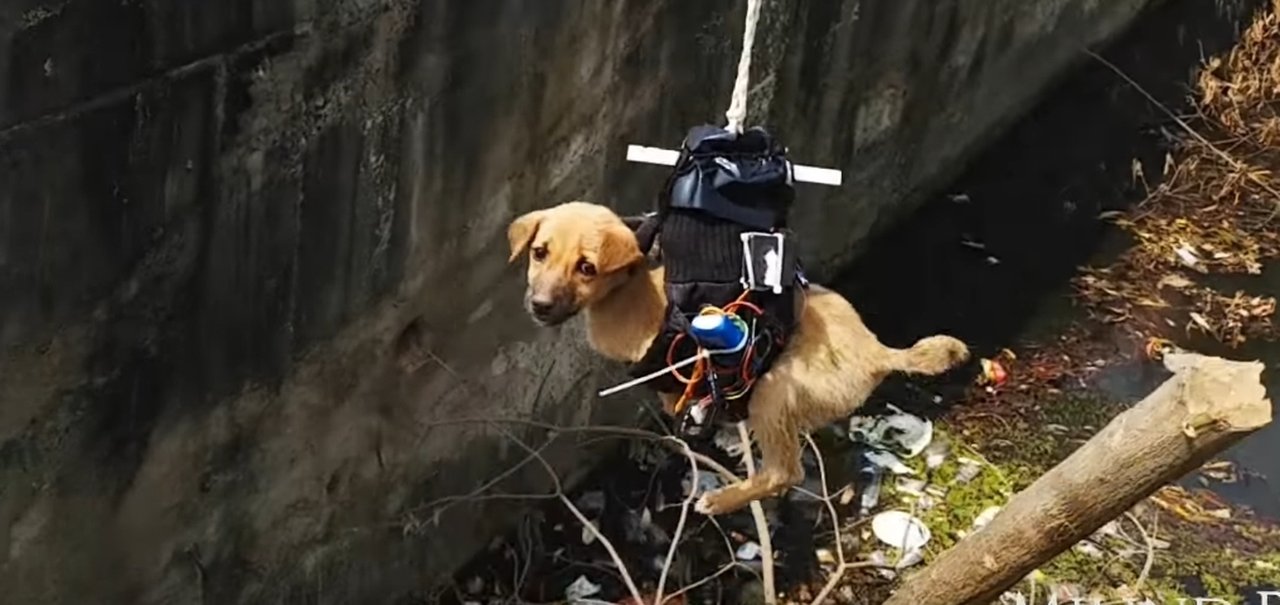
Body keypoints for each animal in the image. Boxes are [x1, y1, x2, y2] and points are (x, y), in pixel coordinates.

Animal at [509, 200, 967, 511]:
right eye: (539, 252)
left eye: (587, 267)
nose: (540, 307)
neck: (632, 282)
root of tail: (877, 353)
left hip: (774, 391)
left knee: (786, 471)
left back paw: (722, 498)